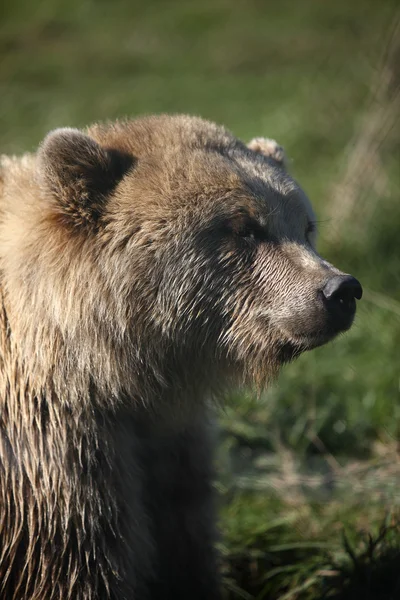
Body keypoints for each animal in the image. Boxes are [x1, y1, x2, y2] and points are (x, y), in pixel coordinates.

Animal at [0, 113, 362, 600]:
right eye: (245, 227)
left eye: (305, 225)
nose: (340, 291)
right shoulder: (53, 446)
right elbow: (76, 558)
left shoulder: (171, 441)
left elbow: (183, 537)